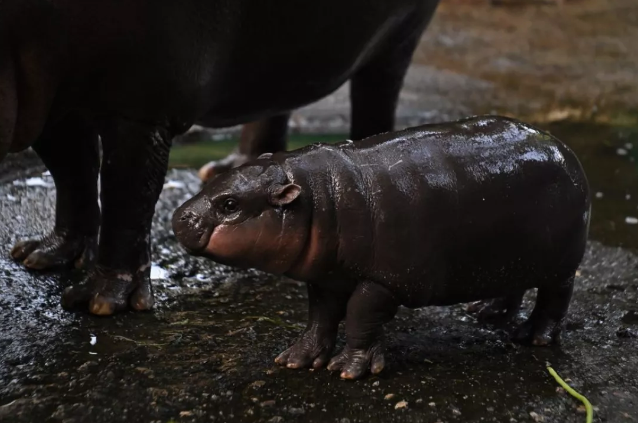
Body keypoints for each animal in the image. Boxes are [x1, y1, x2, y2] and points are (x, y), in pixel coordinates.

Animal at [0, 0, 442, 316]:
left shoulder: (141, 108)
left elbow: (126, 194)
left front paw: (101, 302)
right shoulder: (49, 104)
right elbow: (72, 173)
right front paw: (43, 256)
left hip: (398, 37)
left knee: (376, 95)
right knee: (275, 98)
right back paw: (229, 168)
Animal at [172, 115, 592, 380]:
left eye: (230, 204)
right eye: (217, 178)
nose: (179, 216)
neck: (319, 197)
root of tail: (563, 147)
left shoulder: (384, 281)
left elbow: (359, 314)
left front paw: (347, 369)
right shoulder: (327, 277)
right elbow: (319, 316)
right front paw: (296, 359)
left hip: (561, 262)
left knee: (556, 297)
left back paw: (533, 337)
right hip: (510, 253)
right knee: (513, 285)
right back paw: (484, 312)